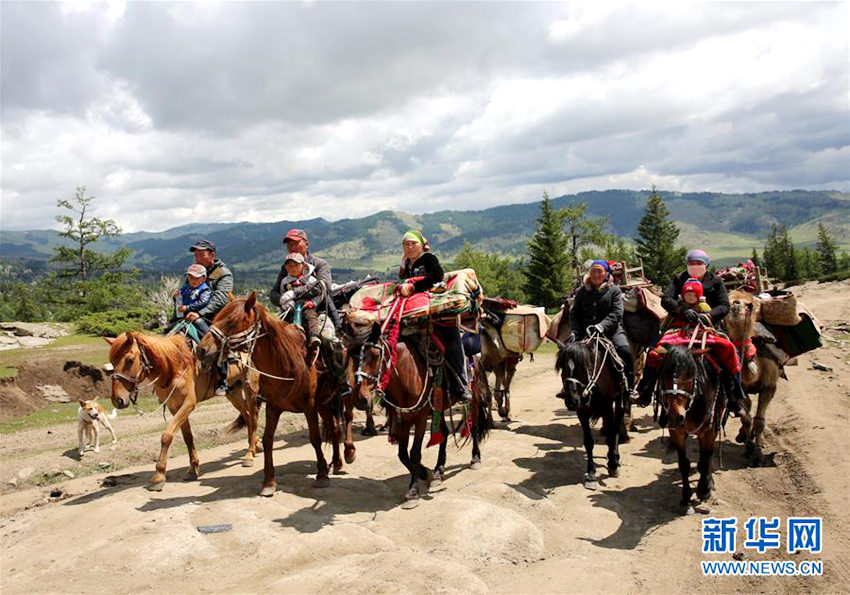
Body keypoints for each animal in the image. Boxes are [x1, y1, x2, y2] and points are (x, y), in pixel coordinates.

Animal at [197, 294, 352, 498]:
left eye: (231, 321)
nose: (201, 350)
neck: (287, 363)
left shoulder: (309, 407)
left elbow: (315, 438)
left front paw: (321, 475)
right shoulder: (273, 407)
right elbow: (267, 440)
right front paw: (268, 482)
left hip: (331, 399)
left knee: (337, 425)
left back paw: (341, 460)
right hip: (323, 403)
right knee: (333, 428)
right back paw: (336, 462)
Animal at [346, 324, 490, 510]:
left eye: (376, 355)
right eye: (350, 356)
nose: (360, 399)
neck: (408, 373)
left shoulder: (420, 419)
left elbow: (414, 453)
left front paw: (413, 493)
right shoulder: (402, 419)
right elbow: (402, 454)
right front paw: (423, 472)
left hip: (473, 398)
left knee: (474, 426)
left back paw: (475, 458)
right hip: (438, 408)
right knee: (444, 433)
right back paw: (438, 471)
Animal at [552, 336, 628, 488]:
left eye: (582, 366)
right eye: (563, 368)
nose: (571, 400)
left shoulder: (607, 408)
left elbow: (611, 436)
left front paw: (613, 464)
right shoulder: (582, 412)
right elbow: (588, 442)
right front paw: (591, 473)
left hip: (619, 400)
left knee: (616, 426)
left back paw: (615, 458)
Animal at [652, 344, 720, 512]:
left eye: (689, 379)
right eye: (664, 377)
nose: (676, 416)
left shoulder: (709, 431)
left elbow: (705, 459)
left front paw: (704, 490)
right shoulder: (676, 432)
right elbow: (684, 463)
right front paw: (686, 496)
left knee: (708, 456)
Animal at [724, 292, 780, 468]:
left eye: (750, 305)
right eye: (728, 302)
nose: (736, 304)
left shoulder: (770, 386)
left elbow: (760, 422)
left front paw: (758, 455)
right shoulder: (736, 389)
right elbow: (746, 418)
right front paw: (749, 448)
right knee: (747, 407)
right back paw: (743, 435)